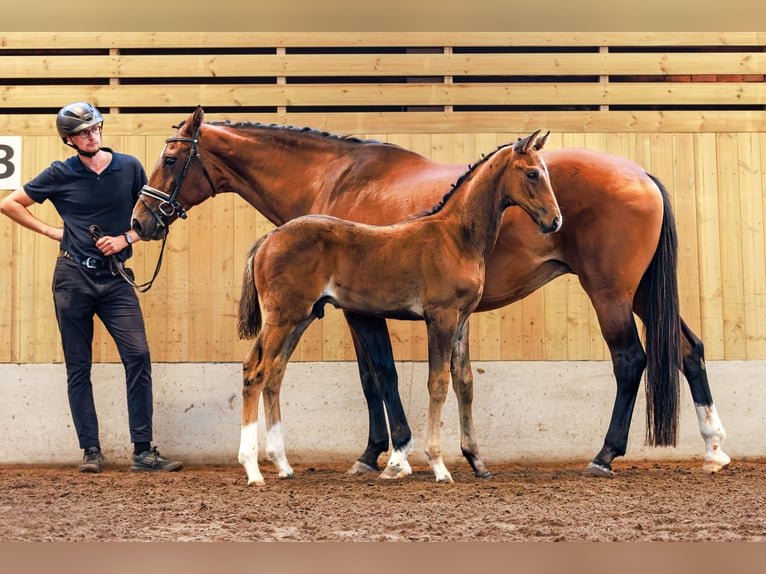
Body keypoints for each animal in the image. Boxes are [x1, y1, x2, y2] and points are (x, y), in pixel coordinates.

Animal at [132, 106, 732, 480]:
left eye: (170, 157)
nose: (141, 222)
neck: (334, 179)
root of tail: (643, 173)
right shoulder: (365, 309)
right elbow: (382, 377)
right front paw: (384, 454)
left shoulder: (362, 312)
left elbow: (382, 375)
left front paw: (393, 454)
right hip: (641, 294)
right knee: (688, 351)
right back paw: (714, 449)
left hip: (610, 292)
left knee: (631, 360)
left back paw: (606, 455)